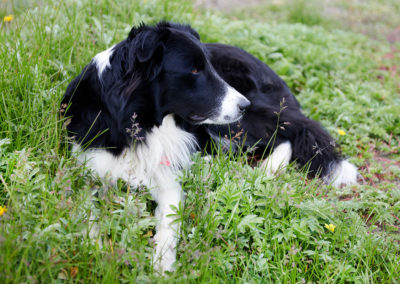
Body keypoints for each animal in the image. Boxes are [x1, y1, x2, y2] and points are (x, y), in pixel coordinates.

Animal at [61, 21, 358, 270]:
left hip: (233, 125)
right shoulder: (87, 169)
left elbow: (168, 228)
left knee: (287, 135)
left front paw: (161, 268)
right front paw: (97, 252)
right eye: (194, 70)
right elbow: (85, 214)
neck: (140, 122)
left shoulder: (168, 181)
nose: (244, 105)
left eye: (210, 68)